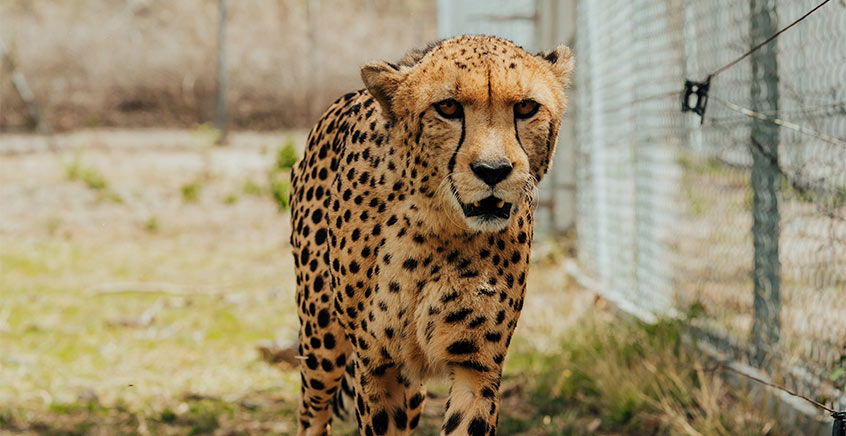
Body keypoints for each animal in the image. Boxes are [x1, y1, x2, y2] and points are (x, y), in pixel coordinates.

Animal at [289, 34, 573, 436]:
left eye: (526, 107)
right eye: (449, 107)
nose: (493, 170)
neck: (440, 229)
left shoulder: (477, 366)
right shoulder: (378, 363)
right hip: (322, 338)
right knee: (312, 408)